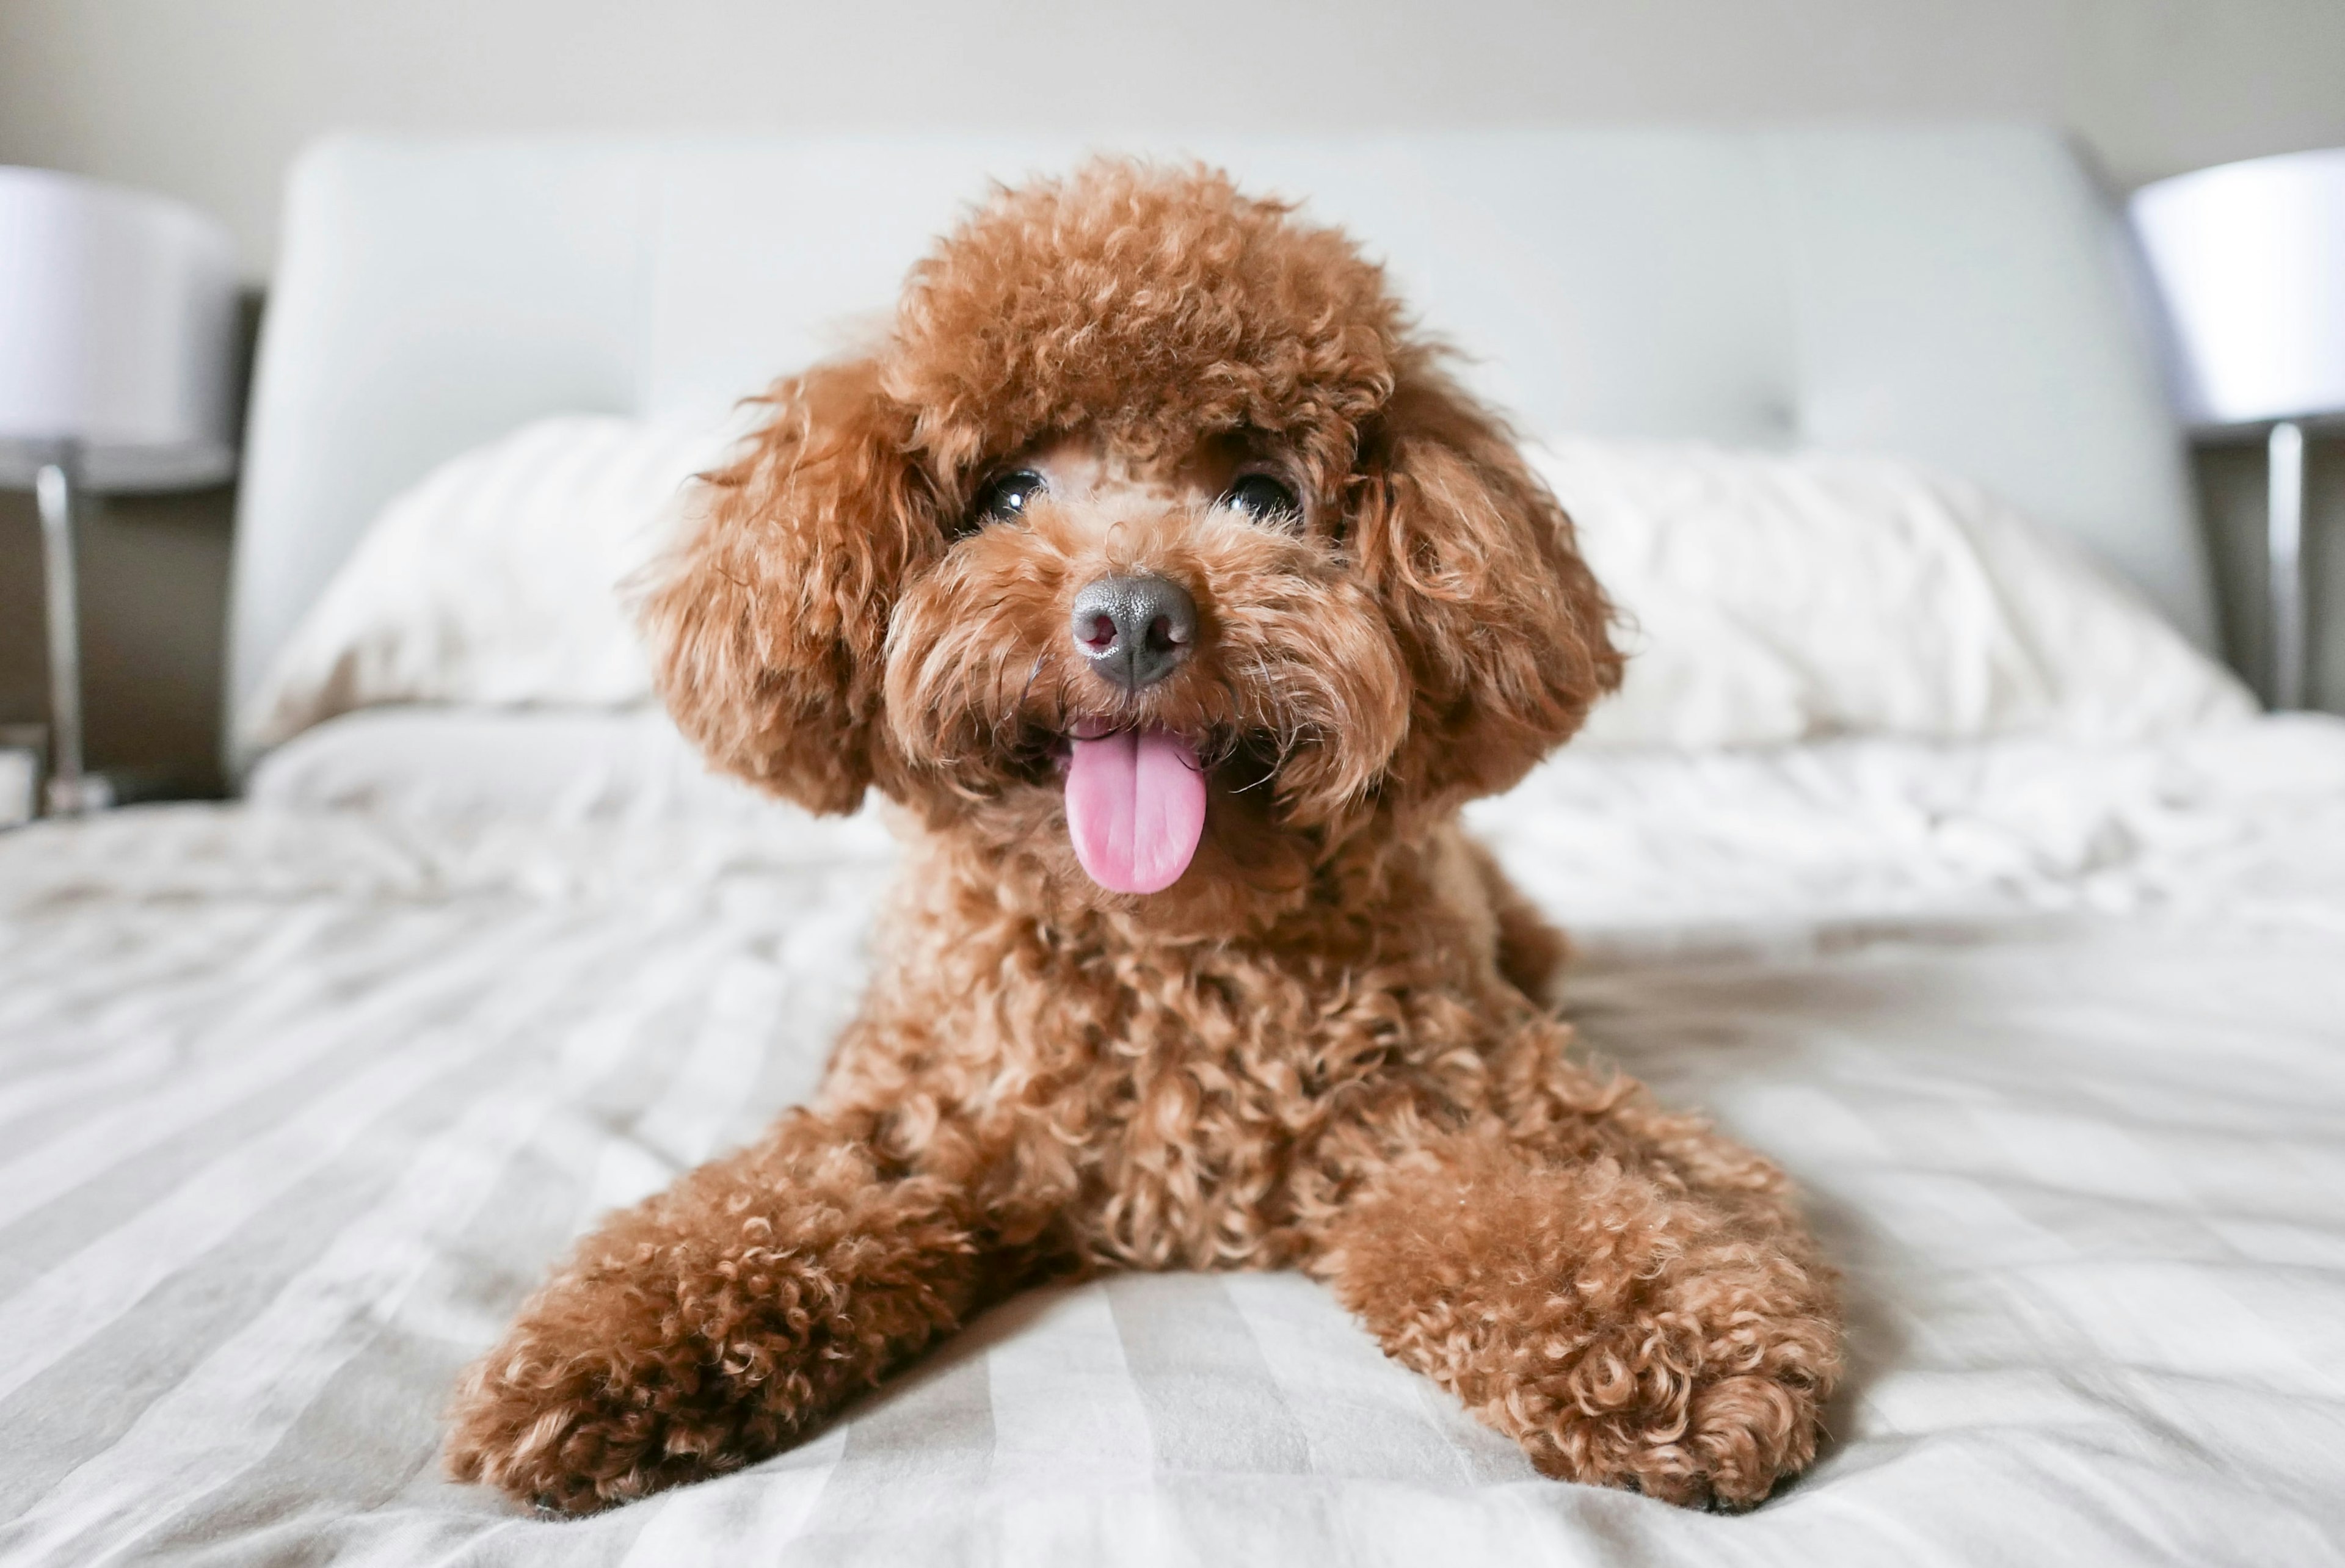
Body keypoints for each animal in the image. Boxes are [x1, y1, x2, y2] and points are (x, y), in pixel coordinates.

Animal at [448, 156, 1847, 1500]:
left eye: (1262, 493)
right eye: (1008, 492)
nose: (1132, 617)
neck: (1162, 948)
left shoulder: (1474, 1100)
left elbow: (1575, 1214)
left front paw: (1677, 1346)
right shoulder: (912, 1130)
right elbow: (751, 1216)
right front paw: (599, 1356)